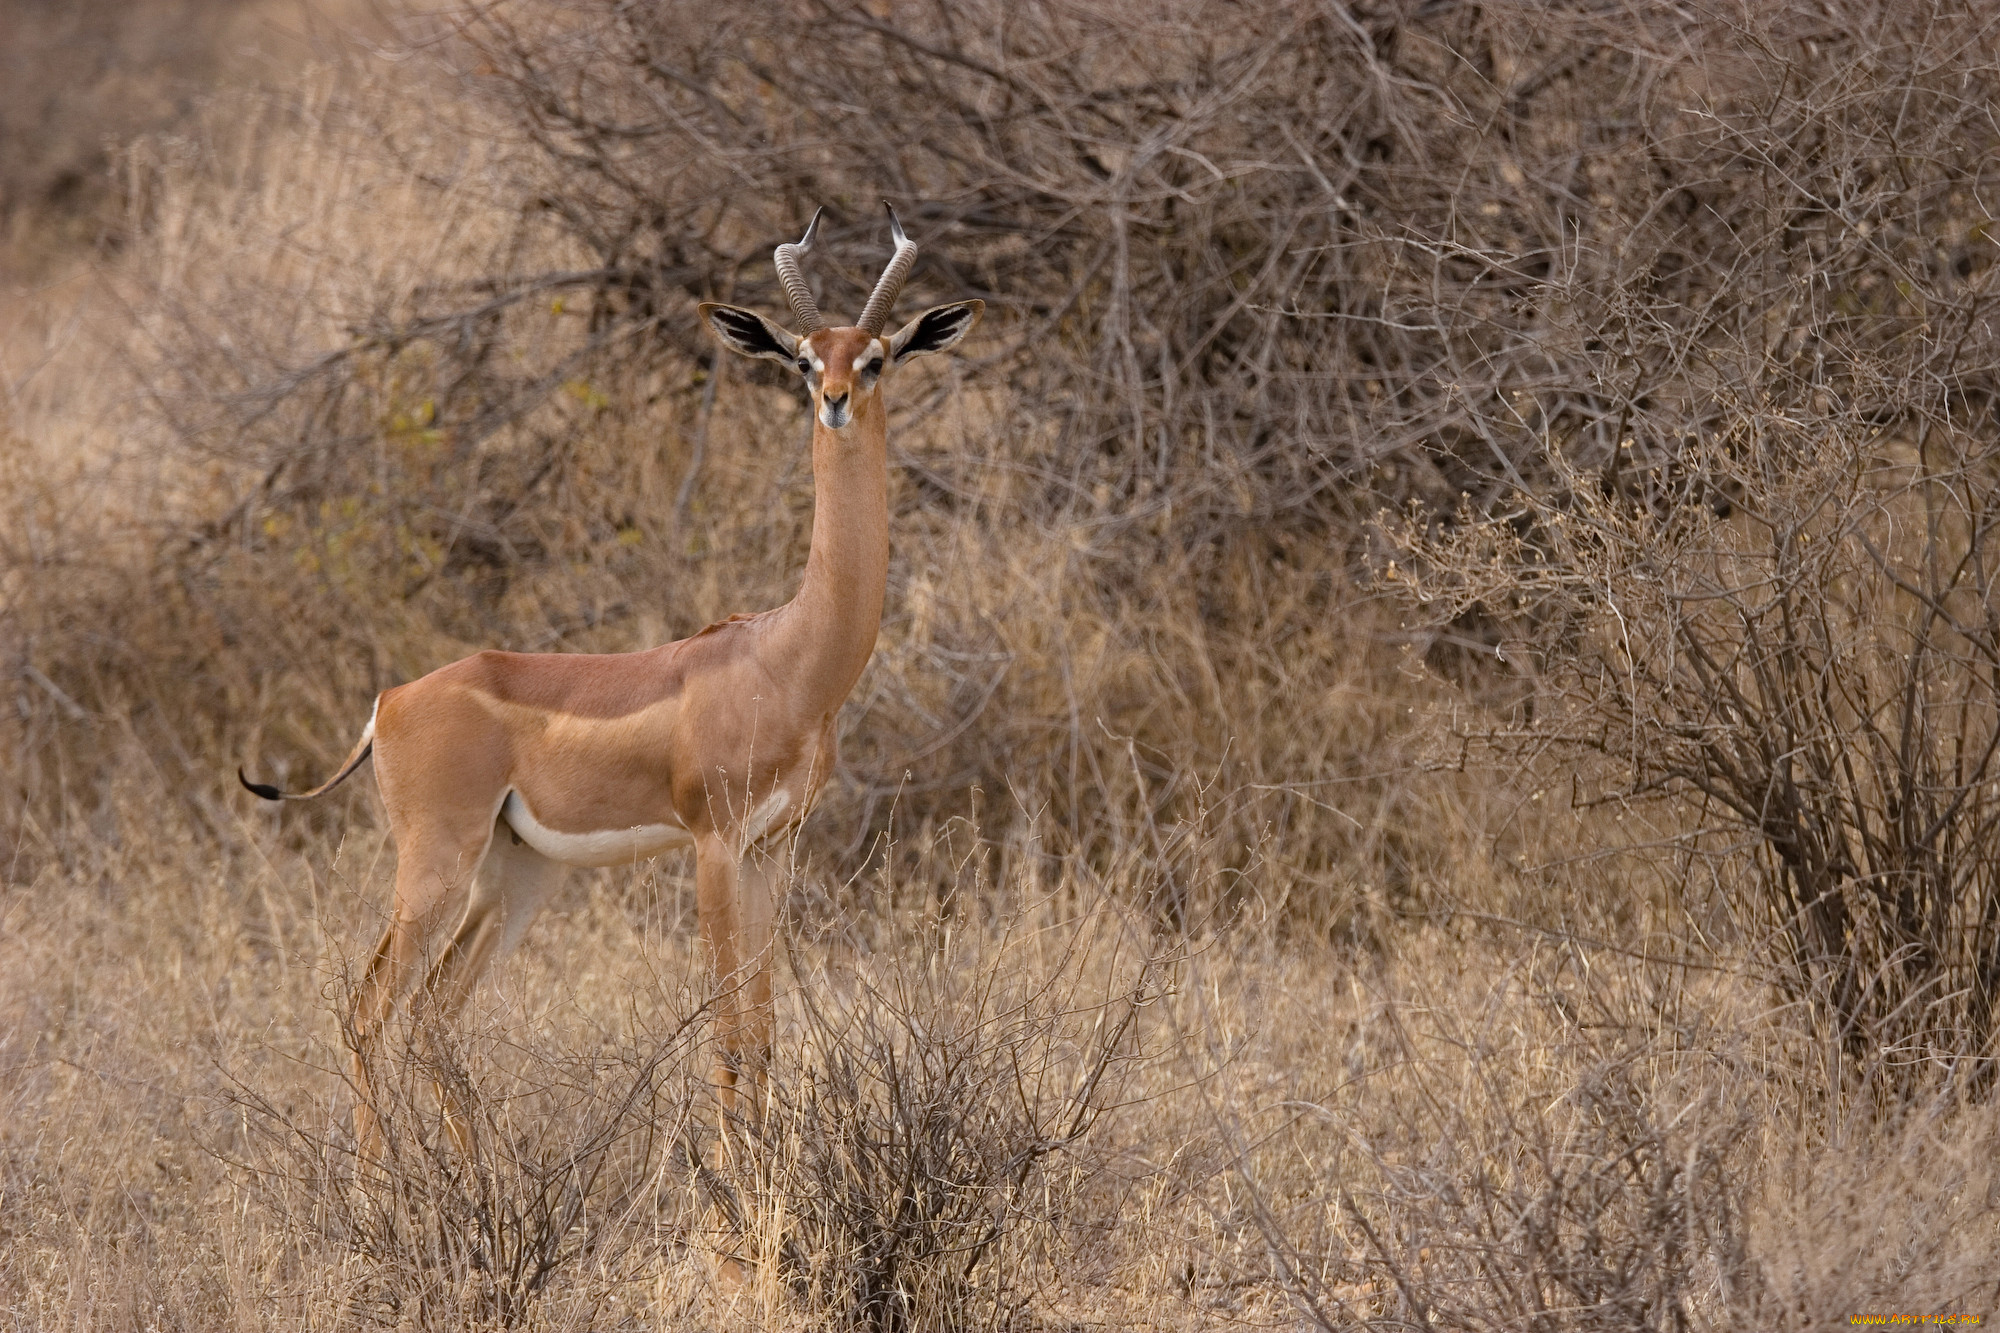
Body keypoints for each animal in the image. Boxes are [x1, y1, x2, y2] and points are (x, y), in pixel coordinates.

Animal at [242, 205, 984, 1152]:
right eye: (803, 357)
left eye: (878, 354)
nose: (835, 402)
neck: (788, 658)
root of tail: (390, 702)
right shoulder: (712, 843)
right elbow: (727, 1032)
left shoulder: (772, 847)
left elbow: (766, 1031)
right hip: (438, 861)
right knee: (368, 1009)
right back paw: (387, 1188)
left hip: (517, 874)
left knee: (433, 1014)